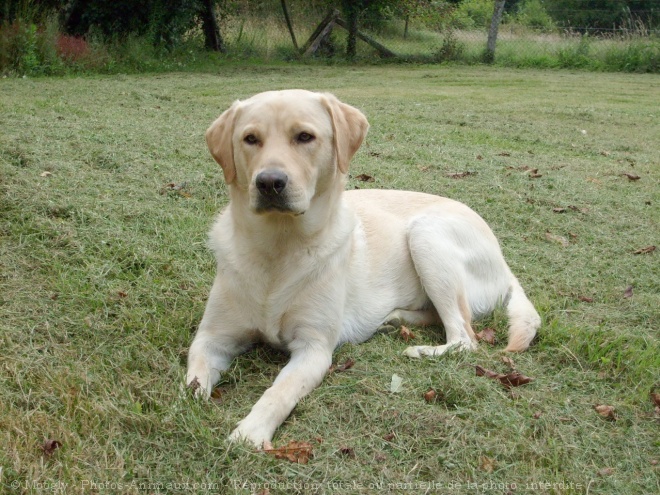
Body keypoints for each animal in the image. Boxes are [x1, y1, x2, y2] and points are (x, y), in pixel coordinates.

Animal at [187, 90, 540, 450]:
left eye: (304, 137)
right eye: (250, 139)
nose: (269, 182)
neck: (278, 248)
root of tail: (504, 263)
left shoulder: (314, 349)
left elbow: (279, 392)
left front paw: (250, 432)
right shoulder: (211, 338)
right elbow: (193, 379)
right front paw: (190, 403)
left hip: (427, 235)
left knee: (464, 337)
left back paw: (420, 349)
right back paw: (396, 318)